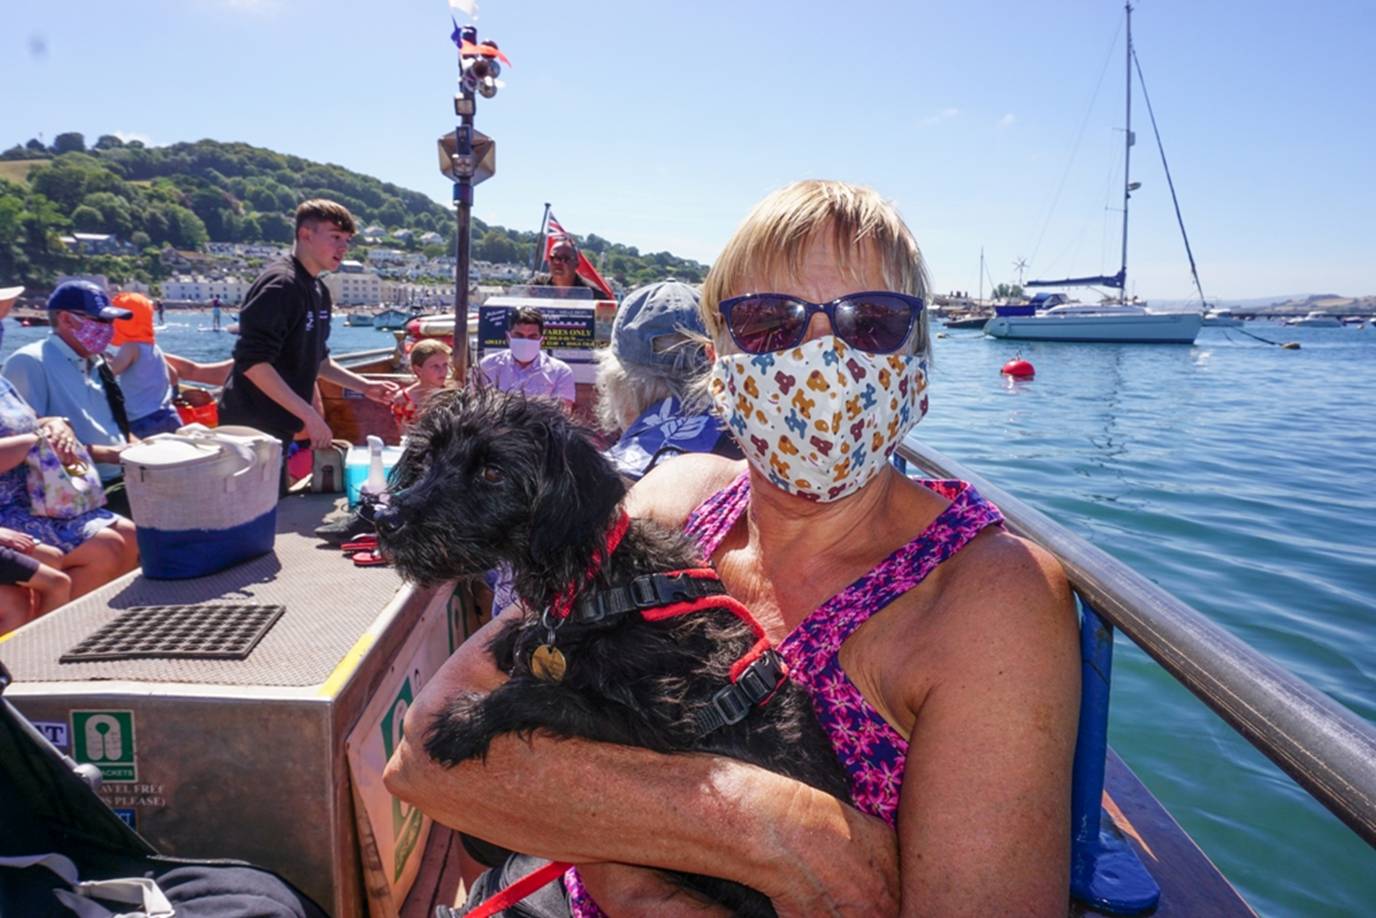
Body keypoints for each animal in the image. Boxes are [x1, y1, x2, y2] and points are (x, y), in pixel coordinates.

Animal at [372, 387, 852, 917]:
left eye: (492, 472)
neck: (605, 583)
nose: (386, 518)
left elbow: (538, 694)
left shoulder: (662, 720)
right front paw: (516, 637)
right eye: (427, 458)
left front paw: (466, 721)